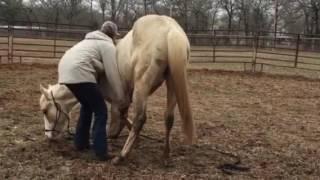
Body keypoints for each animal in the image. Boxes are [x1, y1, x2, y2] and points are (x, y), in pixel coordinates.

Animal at [40, 15, 195, 165]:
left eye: (45, 111)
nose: (48, 136)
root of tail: (170, 29)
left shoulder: (117, 100)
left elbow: (119, 119)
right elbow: (123, 116)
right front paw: (134, 139)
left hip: (142, 86)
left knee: (140, 118)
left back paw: (121, 156)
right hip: (172, 82)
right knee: (168, 117)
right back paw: (165, 156)